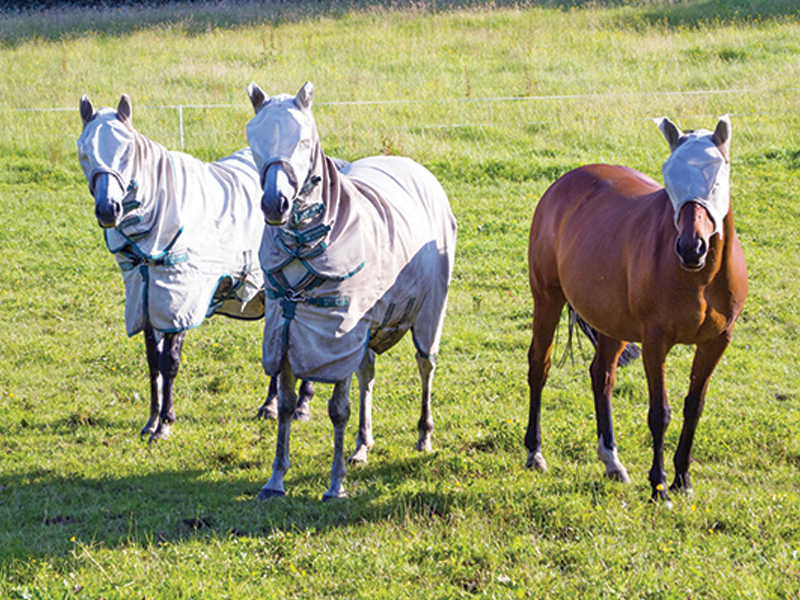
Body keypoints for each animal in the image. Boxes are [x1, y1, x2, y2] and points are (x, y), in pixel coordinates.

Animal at [77, 94, 314, 441]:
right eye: (84, 152)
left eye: (127, 152)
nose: (108, 209)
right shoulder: (147, 299)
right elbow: (153, 361)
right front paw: (151, 420)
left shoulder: (179, 301)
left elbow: (170, 362)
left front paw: (164, 423)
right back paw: (271, 405)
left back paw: (301, 405)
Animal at [245, 81, 457, 501]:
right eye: (255, 139)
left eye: (302, 140)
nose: (275, 203)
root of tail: (416, 169)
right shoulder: (289, 332)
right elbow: (288, 405)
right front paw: (276, 479)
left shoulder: (339, 333)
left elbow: (337, 410)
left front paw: (335, 484)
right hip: (369, 328)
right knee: (368, 376)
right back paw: (362, 444)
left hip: (428, 313)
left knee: (425, 365)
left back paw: (424, 436)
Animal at [525, 115, 748, 504]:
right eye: (669, 180)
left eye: (716, 178)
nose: (691, 247)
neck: (701, 278)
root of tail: (563, 184)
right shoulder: (655, 342)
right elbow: (660, 413)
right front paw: (660, 486)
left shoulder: (716, 342)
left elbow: (694, 406)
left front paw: (683, 479)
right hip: (547, 300)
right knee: (540, 366)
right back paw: (535, 453)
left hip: (610, 322)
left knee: (601, 375)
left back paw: (612, 461)